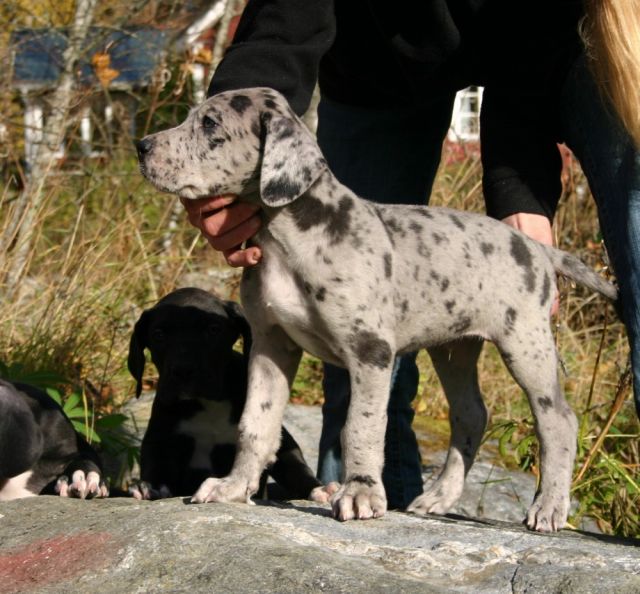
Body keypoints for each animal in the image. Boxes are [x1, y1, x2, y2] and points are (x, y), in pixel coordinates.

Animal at [127, 287, 333, 502]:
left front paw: (319, 489)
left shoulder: (280, 443)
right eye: (158, 334)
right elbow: (155, 463)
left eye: (213, 329)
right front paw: (149, 485)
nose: (183, 370)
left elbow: (295, 467)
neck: (207, 404)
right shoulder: (160, 438)